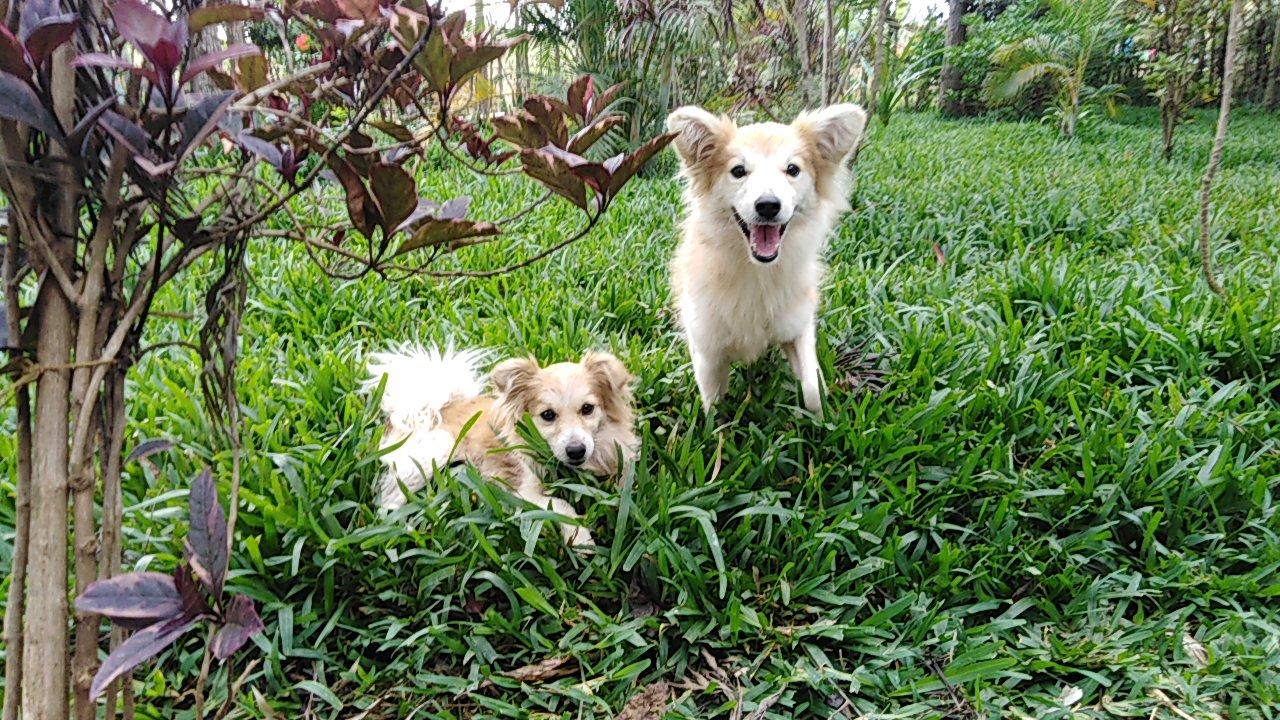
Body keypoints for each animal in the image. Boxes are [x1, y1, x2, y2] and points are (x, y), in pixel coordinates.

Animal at [665, 103, 865, 417]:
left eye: (793, 169)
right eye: (738, 171)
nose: (768, 205)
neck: (758, 270)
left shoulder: (799, 325)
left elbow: (813, 387)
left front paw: (822, 419)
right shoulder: (707, 348)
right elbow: (713, 407)